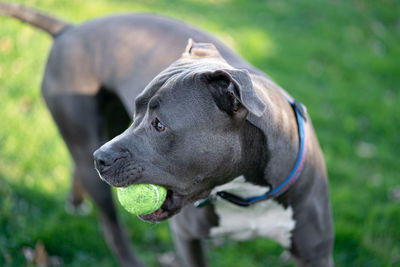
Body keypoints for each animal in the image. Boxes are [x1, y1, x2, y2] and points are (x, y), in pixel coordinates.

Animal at [1, 2, 334, 267]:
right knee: (111, 226)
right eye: (137, 110)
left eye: (159, 125)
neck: (245, 193)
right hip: (83, 136)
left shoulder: (315, 252)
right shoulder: (187, 236)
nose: (102, 159)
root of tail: (68, 29)